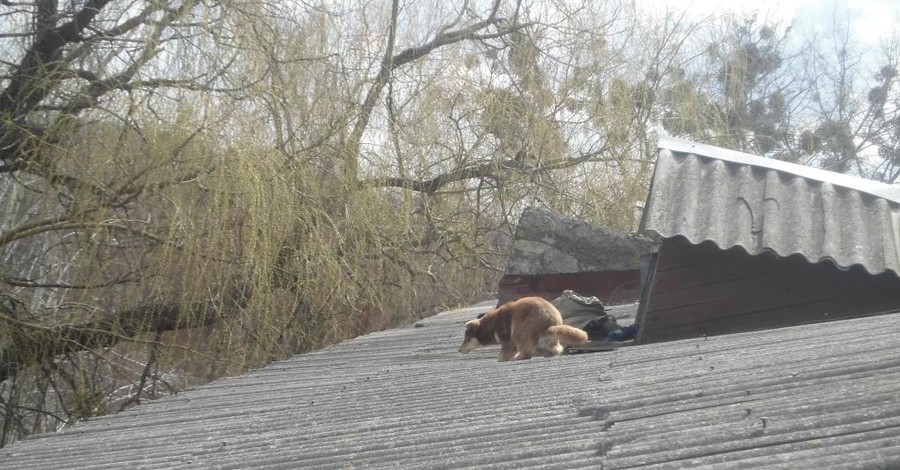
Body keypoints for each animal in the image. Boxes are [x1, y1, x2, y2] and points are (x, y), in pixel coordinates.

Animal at [458, 296, 592, 362]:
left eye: (466, 339)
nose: (459, 350)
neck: (490, 326)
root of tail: (550, 323)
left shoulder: (506, 334)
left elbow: (507, 349)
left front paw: (502, 359)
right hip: (546, 337)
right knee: (553, 348)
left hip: (523, 327)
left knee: (525, 347)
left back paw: (520, 356)